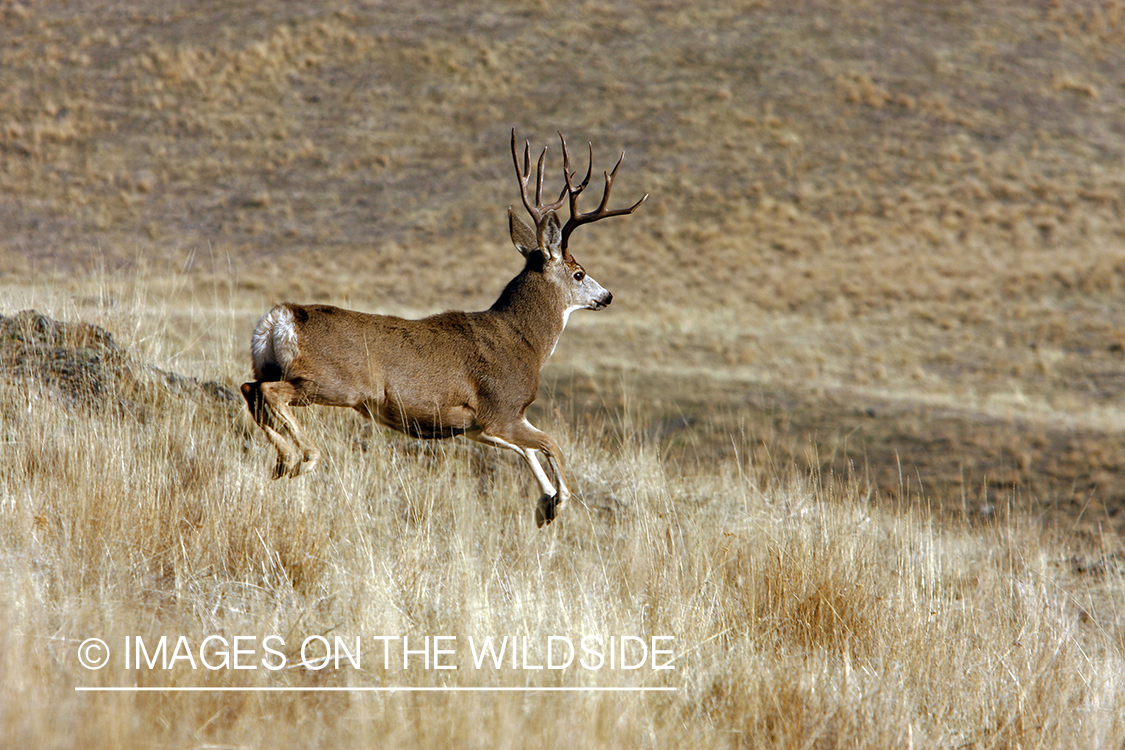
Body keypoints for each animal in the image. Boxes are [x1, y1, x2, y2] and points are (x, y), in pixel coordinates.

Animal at [240, 129, 646, 526]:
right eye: (578, 273)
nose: (608, 296)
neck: (525, 343)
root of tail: (281, 319)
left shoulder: (480, 424)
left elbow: (527, 449)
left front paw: (545, 503)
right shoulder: (501, 408)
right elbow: (550, 444)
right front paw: (558, 502)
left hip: (274, 368)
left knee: (251, 389)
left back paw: (283, 462)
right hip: (336, 382)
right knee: (270, 394)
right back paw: (303, 457)